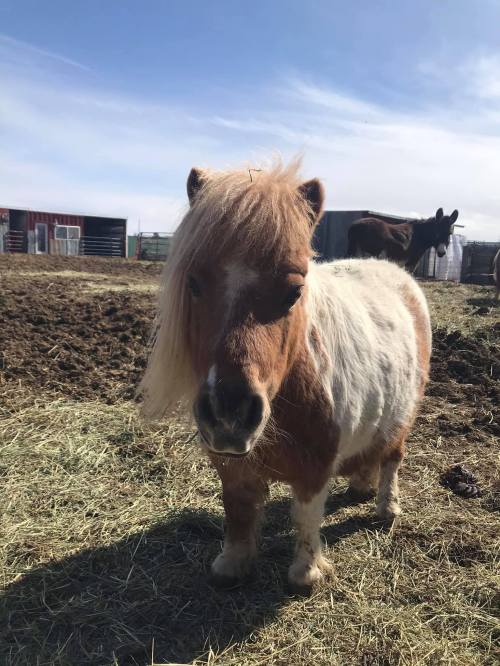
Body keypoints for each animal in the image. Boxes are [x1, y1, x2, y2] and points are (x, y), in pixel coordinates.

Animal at [140, 160, 432, 589]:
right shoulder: (232, 465)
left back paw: (387, 506)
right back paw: (361, 485)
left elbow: (306, 515)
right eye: (192, 283)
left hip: (405, 413)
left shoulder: (316, 467)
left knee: (393, 457)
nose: (230, 414)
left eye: (294, 292)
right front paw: (233, 563)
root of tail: (393, 271)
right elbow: (238, 509)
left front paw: (306, 573)